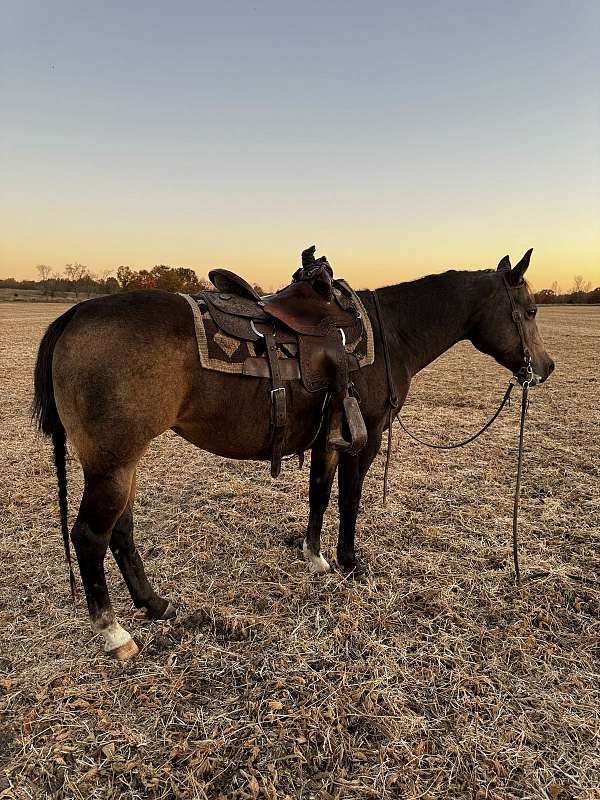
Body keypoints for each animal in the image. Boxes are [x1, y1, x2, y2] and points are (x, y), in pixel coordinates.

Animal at [34, 248, 552, 656]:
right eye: (528, 310)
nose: (545, 367)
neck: (392, 333)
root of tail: (73, 315)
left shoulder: (328, 438)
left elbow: (319, 495)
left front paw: (314, 557)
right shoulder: (365, 437)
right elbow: (349, 500)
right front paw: (349, 562)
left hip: (122, 461)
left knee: (120, 530)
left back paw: (156, 605)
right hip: (112, 462)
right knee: (90, 536)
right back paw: (114, 633)